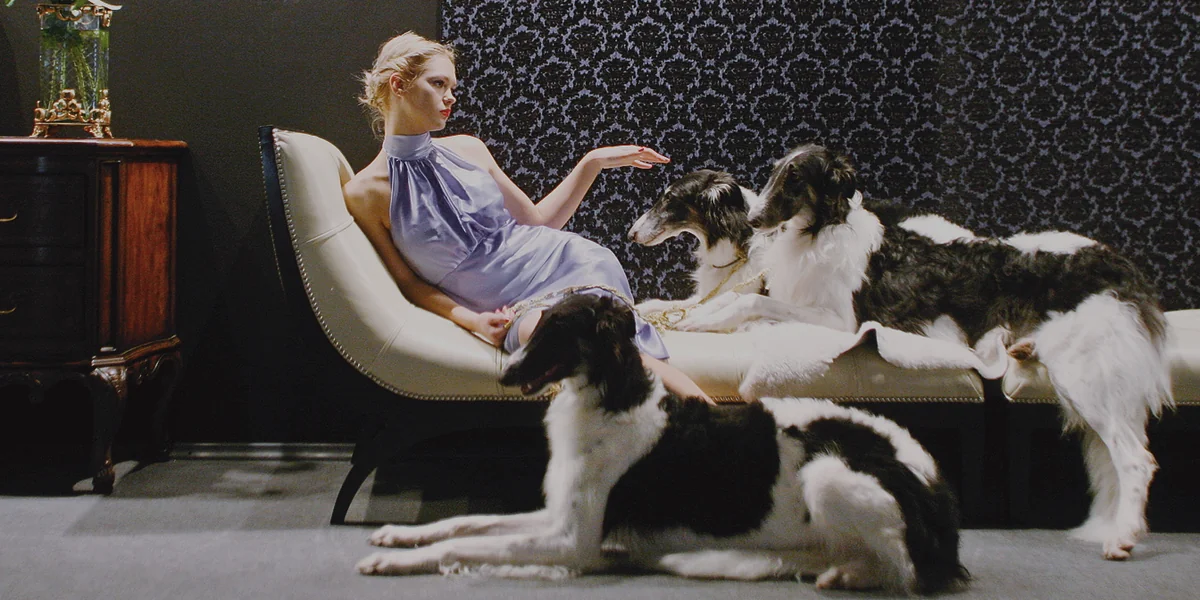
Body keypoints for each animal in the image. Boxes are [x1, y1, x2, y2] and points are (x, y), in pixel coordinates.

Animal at [357, 293, 969, 594]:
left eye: (555, 329)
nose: (504, 376)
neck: (614, 400)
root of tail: (938, 486)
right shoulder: (558, 514)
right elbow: (464, 523)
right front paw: (396, 536)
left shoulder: (574, 540)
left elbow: (464, 546)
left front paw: (394, 563)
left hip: (829, 474)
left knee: (911, 571)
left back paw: (853, 575)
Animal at [678, 143, 1173, 560]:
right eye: (776, 170)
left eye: (796, 177)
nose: (753, 218)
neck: (824, 231)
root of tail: (1122, 268)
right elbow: (729, 300)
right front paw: (687, 317)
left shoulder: (841, 321)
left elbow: (748, 301)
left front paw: (698, 321)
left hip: (1088, 376)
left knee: (1137, 460)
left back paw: (1122, 537)